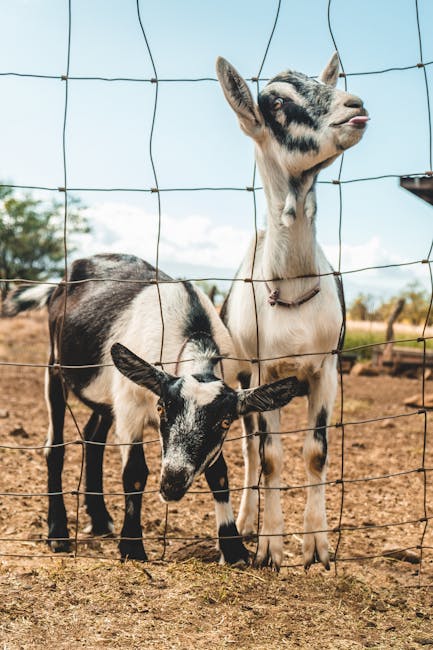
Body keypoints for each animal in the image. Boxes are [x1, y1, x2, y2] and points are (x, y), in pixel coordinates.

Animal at [3, 253, 308, 560]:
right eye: (162, 408)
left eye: (224, 422)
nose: (173, 482)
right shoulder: (130, 409)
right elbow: (135, 472)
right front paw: (132, 546)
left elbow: (219, 473)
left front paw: (233, 548)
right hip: (55, 366)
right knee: (55, 446)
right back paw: (58, 533)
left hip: (106, 396)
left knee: (93, 439)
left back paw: (100, 519)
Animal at [216, 53, 368, 568]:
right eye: (277, 102)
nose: (355, 106)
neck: (295, 287)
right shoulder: (266, 374)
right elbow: (270, 457)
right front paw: (269, 547)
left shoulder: (326, 369)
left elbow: (315, 453)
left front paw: (317, 546)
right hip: (240, 377)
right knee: (248, 450)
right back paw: (245, 521)